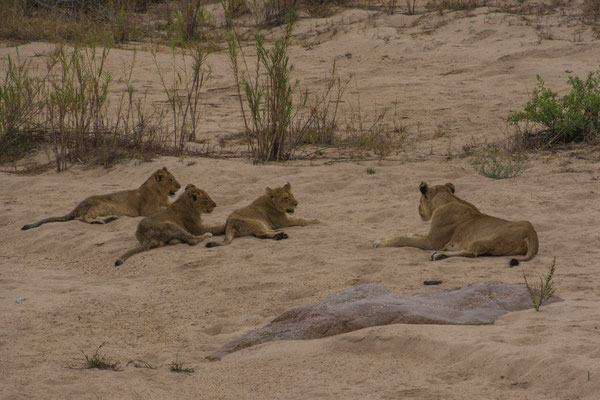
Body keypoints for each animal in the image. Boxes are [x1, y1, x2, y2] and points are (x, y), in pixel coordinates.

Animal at [21, 166, 180, 228]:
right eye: (171, 180)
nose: (179, 186)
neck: (161, 193)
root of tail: (79, 204)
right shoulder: (146, 210)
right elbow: (162, 208)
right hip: (103, 205)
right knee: (83, 218)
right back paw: (99, 221)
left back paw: (109, 219)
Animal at [372, 184, 540, 266]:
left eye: (419, 200)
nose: (418, 210)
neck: (446, 200)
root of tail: (531, 231)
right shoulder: (429, 236)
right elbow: (411, 234)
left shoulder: (432, 242)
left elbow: (402, 239)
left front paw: (379, 243)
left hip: (483, 240)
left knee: (471, 253)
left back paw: (438, 255)